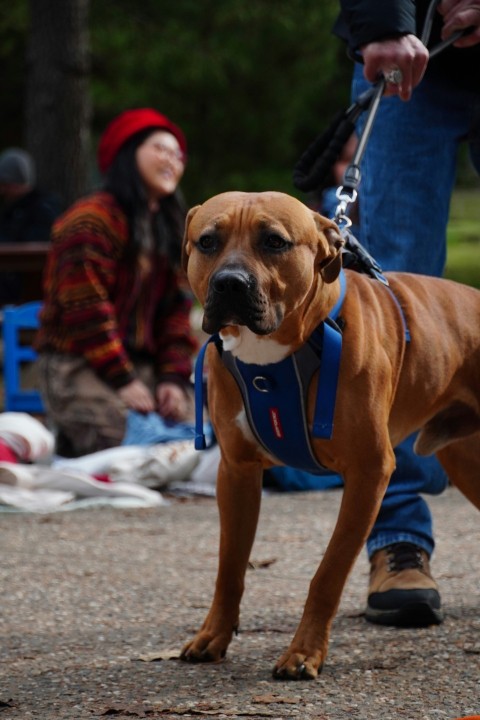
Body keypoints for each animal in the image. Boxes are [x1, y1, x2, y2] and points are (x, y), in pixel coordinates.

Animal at [179, 191, 480, 680]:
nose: (229, 283)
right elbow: (230, 567)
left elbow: (328, 573)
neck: (278, 352)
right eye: (207, 241)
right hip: (467, 462)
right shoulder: (237, 473)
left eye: (274, 241)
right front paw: (213, 635)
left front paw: (304, 652)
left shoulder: (368, 473)